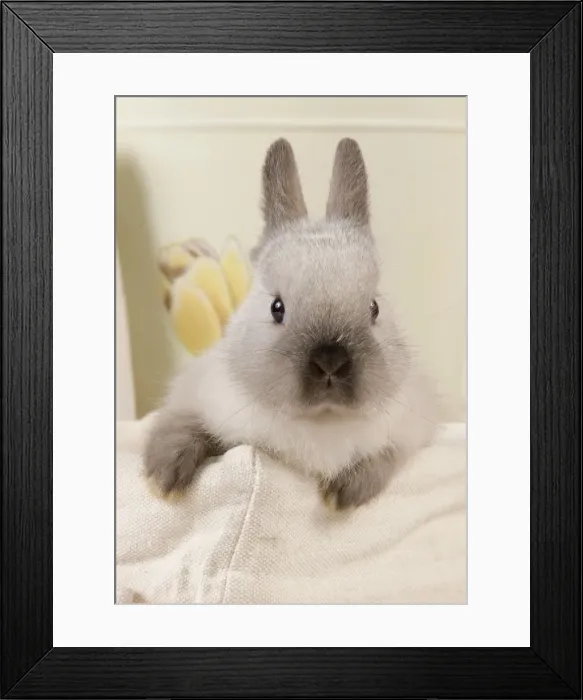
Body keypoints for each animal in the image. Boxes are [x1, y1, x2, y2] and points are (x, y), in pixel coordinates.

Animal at [144, 137, 438, 510]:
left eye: (373, 307)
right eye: (277, 308)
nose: (330, 362)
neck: (321, 422)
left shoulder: (407, 433)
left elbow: (383, 459)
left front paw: (340, 496)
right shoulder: (195, 397)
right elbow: (180, 425)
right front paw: (163, 480)